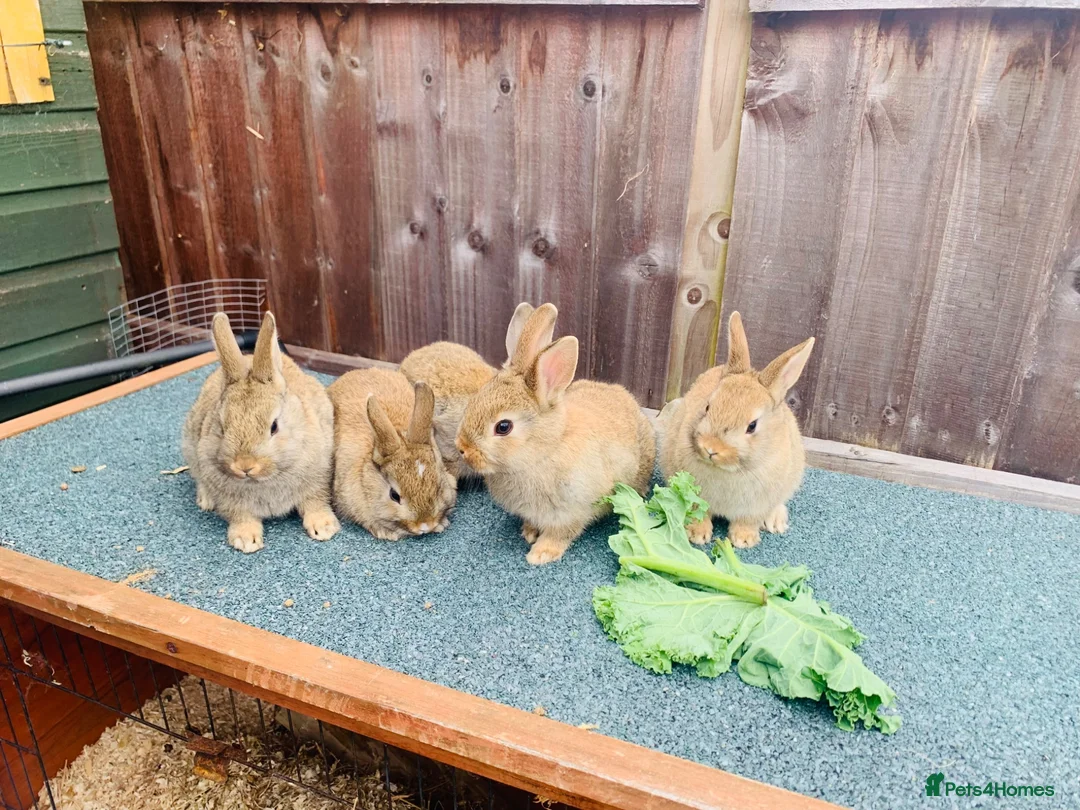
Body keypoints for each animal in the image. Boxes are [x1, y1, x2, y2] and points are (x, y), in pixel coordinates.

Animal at [182, 312, 340, 553]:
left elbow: (315, 502)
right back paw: (205, 500)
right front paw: (246, 540)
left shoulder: (318, 476)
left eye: (273, 426)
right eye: (222, 426)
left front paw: (323, 527)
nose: (245, 466)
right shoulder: (230, 499)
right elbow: (241, 516)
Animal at [455, 303, 656, 566]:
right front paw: (529, 532)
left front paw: (540, 554)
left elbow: (561, 533)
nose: (462, 448)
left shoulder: (574, 509)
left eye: (503, 427)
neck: (544, 451)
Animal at [657, 311, 814, 549]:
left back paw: (776, 522)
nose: (710, 448)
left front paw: (744, 540)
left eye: (752, 426)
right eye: (707, 407)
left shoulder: (757, 504)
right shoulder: (694, 495)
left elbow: (747, 520)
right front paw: (697, 535)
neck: (729, 471)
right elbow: (698, 513)